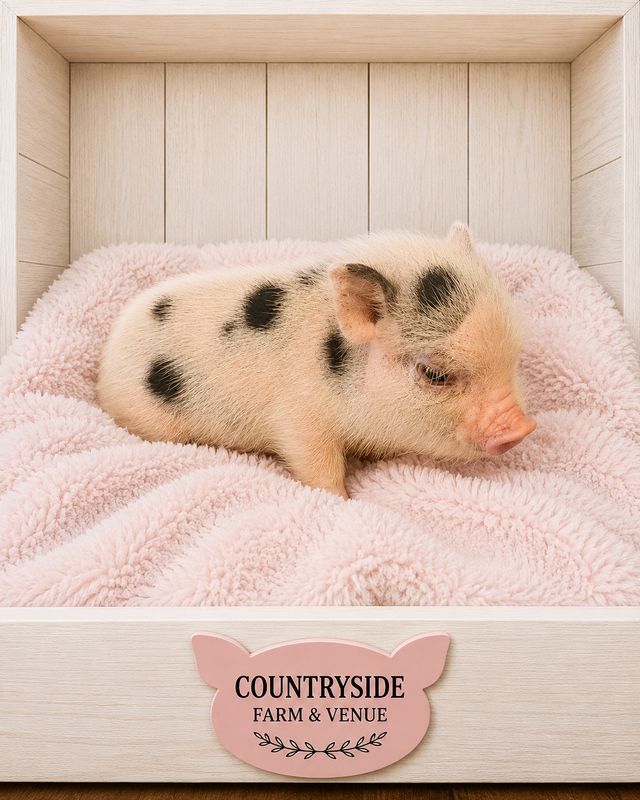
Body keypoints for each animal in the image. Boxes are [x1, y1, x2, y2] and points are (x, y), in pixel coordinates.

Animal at [96, 224, 536, 498]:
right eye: (434, 373)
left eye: (514, 357)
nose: (523, 428)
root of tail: (106, 362)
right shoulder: (299, 418)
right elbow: (317, 463)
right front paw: (342, 499)